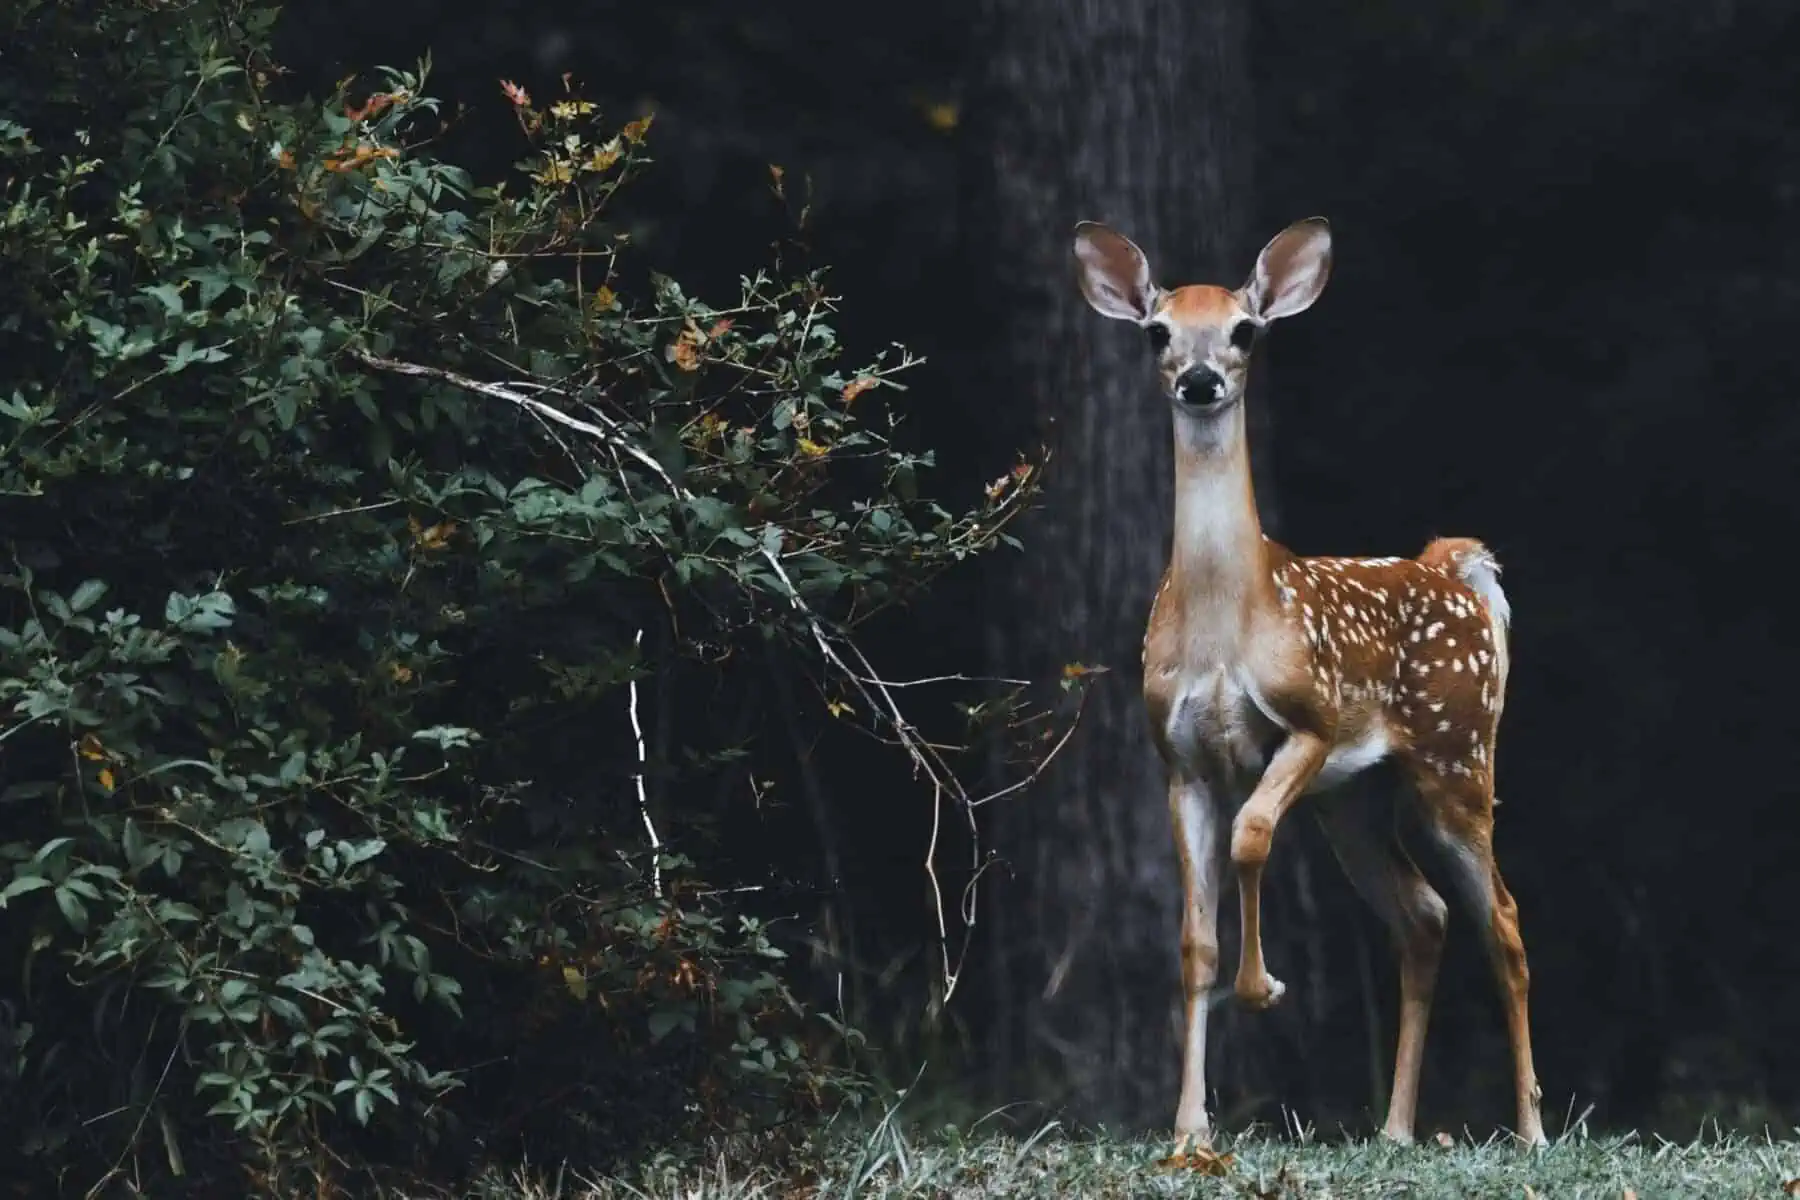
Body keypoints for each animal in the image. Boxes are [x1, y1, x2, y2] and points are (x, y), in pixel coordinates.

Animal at [1071, 216, 1546, 1154]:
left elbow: (1252, 836)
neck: (1228, 623)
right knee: (1424, 915)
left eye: (1246, 330)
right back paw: (1395, 1129)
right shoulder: (1178, 761)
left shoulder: (1311, 722)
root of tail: (1455, 569)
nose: (1202, 380)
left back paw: (1533, 1130)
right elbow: (1194, 940)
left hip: (1457, 757)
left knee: (1503, 920)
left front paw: (1264, 988)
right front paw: (1190, 1128)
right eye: (1158, 333)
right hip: (1356, 800)